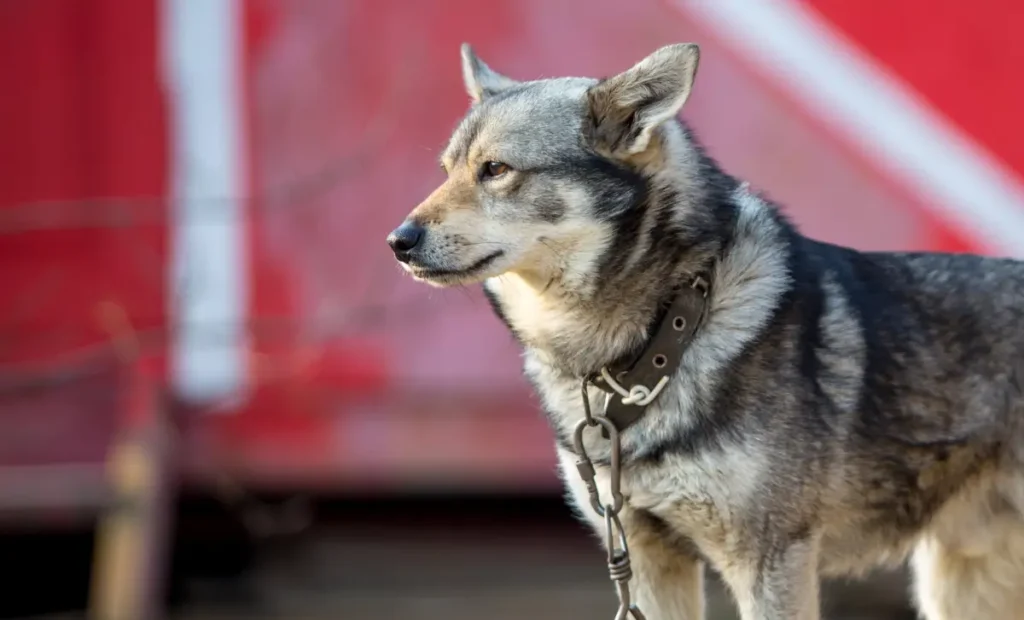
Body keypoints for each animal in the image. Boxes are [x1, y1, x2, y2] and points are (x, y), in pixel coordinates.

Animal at [385, 43, 1024, 618]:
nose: (398, 241)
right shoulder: (643, 556)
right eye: (446, 172)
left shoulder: (771, 561)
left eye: (496, 170)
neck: (664, 339)